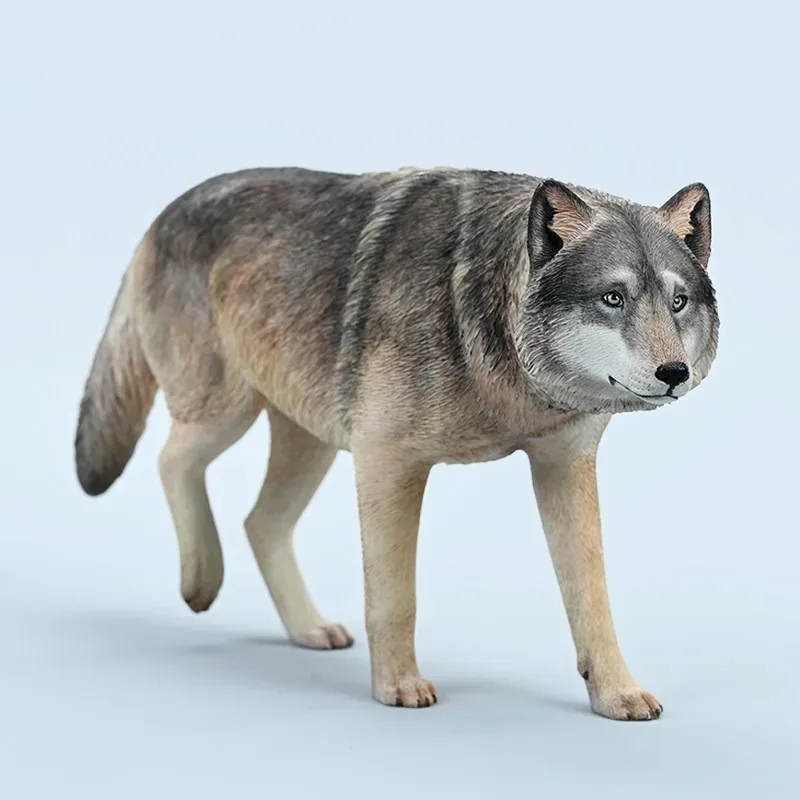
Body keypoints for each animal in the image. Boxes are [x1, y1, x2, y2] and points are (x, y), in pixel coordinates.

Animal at [74, 165, 718, 721]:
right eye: (613, 298)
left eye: (678, 301)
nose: (674, 373)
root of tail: (166, 211)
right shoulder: (389, 461)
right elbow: (394, 597)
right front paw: (398, 687)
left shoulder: (564, 465)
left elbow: (593, 599)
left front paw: (616, 694)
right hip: (228, 413)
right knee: (170, 461)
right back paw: (200, 580)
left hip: (312, 443)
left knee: (259, 522)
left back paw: (307, 628)